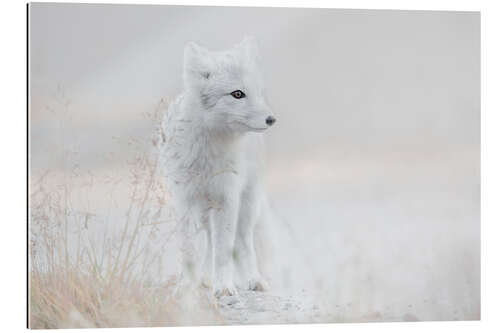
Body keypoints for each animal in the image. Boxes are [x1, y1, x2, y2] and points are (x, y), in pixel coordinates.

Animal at [160, 38, 276, 296]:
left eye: (259, 92)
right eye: (237, 94)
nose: (272, 119)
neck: (206, 155)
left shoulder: (227, 199)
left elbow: (223, 253)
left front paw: (223, 288)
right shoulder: (184, 201)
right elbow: (189, 252)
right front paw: (186, 287)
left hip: (245, 207)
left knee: (241, 243)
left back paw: (253, 280)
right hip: (205, 213)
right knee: (209, 243)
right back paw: (204, 279)